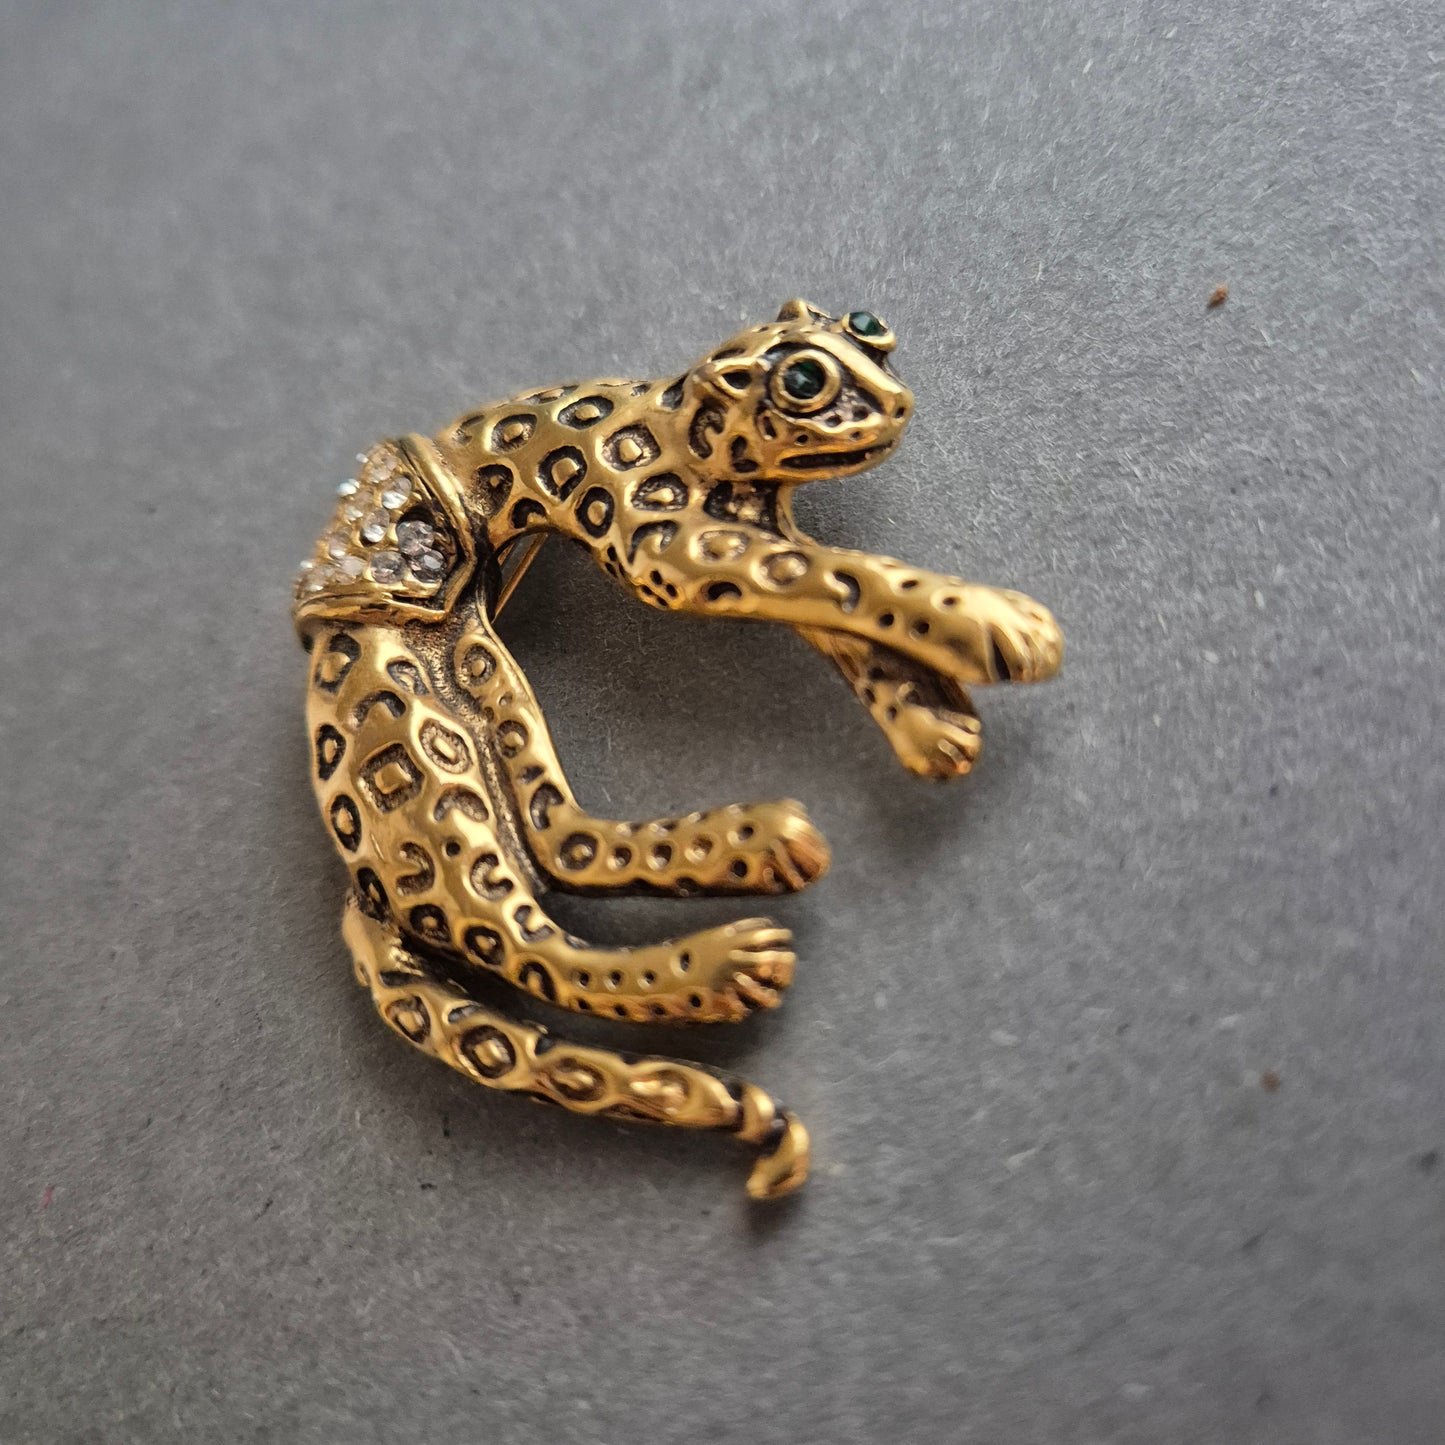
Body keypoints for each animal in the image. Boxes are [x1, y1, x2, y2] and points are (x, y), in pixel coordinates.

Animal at [293, 299, 1063, 1199]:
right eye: (805, 381)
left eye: (868, 328)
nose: (896, 405)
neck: (678, 422)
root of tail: (363, 897)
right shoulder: (667, 548)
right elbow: (832, 574)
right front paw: (992, 621)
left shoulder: (740, 529)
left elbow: (831, 601)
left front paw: (931, 721)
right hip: (422, 748)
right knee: (523, 936)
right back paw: (725, 962)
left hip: (483, 678)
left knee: (558, 841)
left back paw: (750, 847)